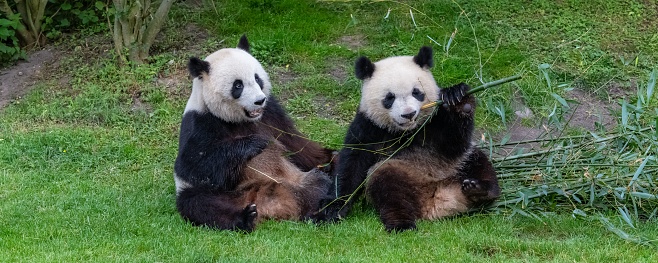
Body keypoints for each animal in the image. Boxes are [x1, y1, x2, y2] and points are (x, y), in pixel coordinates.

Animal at [174, 35, 334, 233]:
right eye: (238, 85)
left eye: (257, 79)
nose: (259, 100)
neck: (239, 119)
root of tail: (270, 206)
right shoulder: (200, 122)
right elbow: (192, 165)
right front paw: (255, 143)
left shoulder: (272, 113)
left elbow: (297, 144)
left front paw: (330, 157)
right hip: (225, 194)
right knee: (199, 202)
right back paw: (245, 218)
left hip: (298, 181)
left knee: (320, 187)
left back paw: (322, 211)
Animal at [316, 46, 498, 232]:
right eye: (389, 97)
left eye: (416, 92)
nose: (409, 114)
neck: (406, 132)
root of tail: (435, 201)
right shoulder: (368, 127)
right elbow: (352, 164)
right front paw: (330, 210)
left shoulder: (434, 121)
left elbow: (455, 143)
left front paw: (459, 99)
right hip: (400, 173)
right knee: (389, 189)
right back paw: (401, 224)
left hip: (458, 165)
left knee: (480, 164)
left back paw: (478, 189)